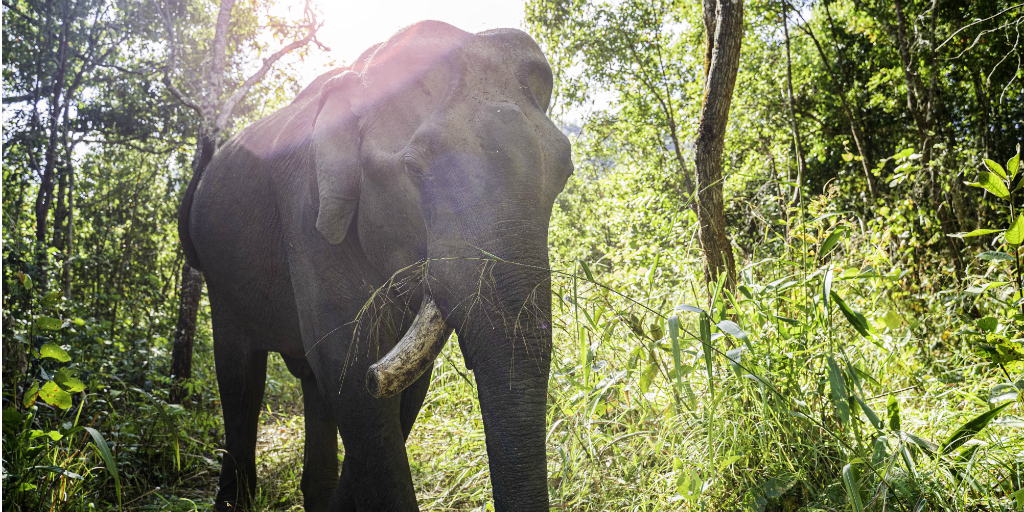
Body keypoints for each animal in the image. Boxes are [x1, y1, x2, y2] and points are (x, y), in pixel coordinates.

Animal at [179, 19, 573, 512]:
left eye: (565, 173)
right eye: (416, 169)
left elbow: (392, 380)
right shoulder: (308, 216)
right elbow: (349, 366)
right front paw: (364, 378)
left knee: (310, 383)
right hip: (220, 272)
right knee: (239, 378)